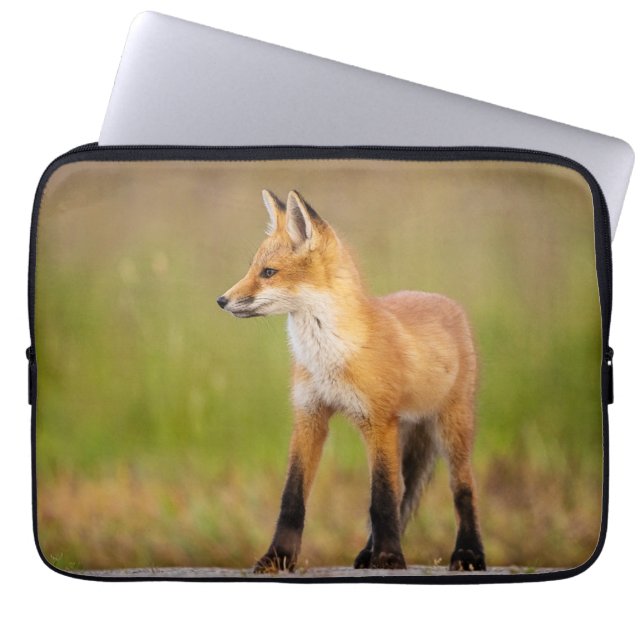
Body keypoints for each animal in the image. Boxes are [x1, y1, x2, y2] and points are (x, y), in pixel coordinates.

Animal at [217, 189, 485, 572]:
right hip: (406, 432)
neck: (329, 357)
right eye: (252, 269)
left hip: (451, 429)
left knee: (462, 489)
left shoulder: (377, 421)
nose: (221, 300)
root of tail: (443, 300)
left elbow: (381, 499)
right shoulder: (309, 416)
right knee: (404, 489)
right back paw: (367, 553)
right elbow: (292, 498)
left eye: (269, 273)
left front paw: (389, 557)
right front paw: (277, 557)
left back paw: (468, 554)